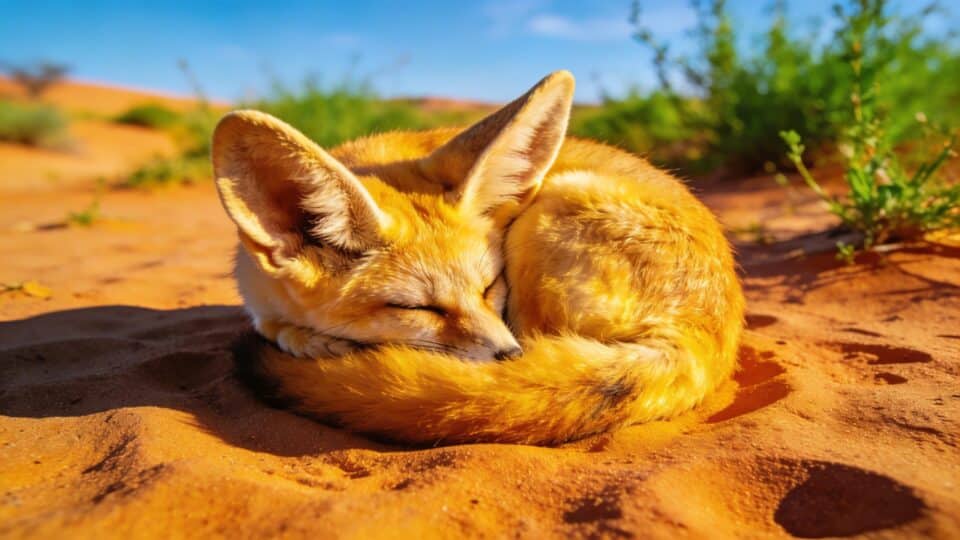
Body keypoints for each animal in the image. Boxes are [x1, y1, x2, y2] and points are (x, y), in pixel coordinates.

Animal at [213, 70, 744, 445]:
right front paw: (302, 337)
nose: (510, 357)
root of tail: (706, 338)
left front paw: (308, 341)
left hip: (546, 215)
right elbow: (272, 323)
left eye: (490, 287)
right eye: (417, 308)